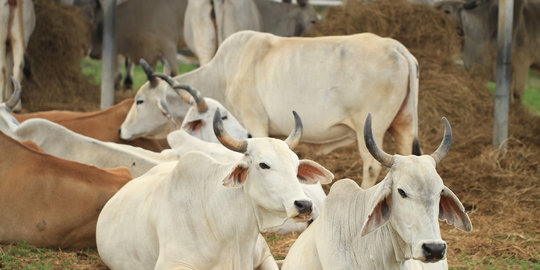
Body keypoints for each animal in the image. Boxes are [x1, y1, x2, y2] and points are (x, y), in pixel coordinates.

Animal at [120, 31, 420, 188]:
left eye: (140, 101)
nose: (122, 130)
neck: (224, 72)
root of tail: (398, 48)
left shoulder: (254, 122)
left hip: (370, 129)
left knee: (372, 165)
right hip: (404, 124)